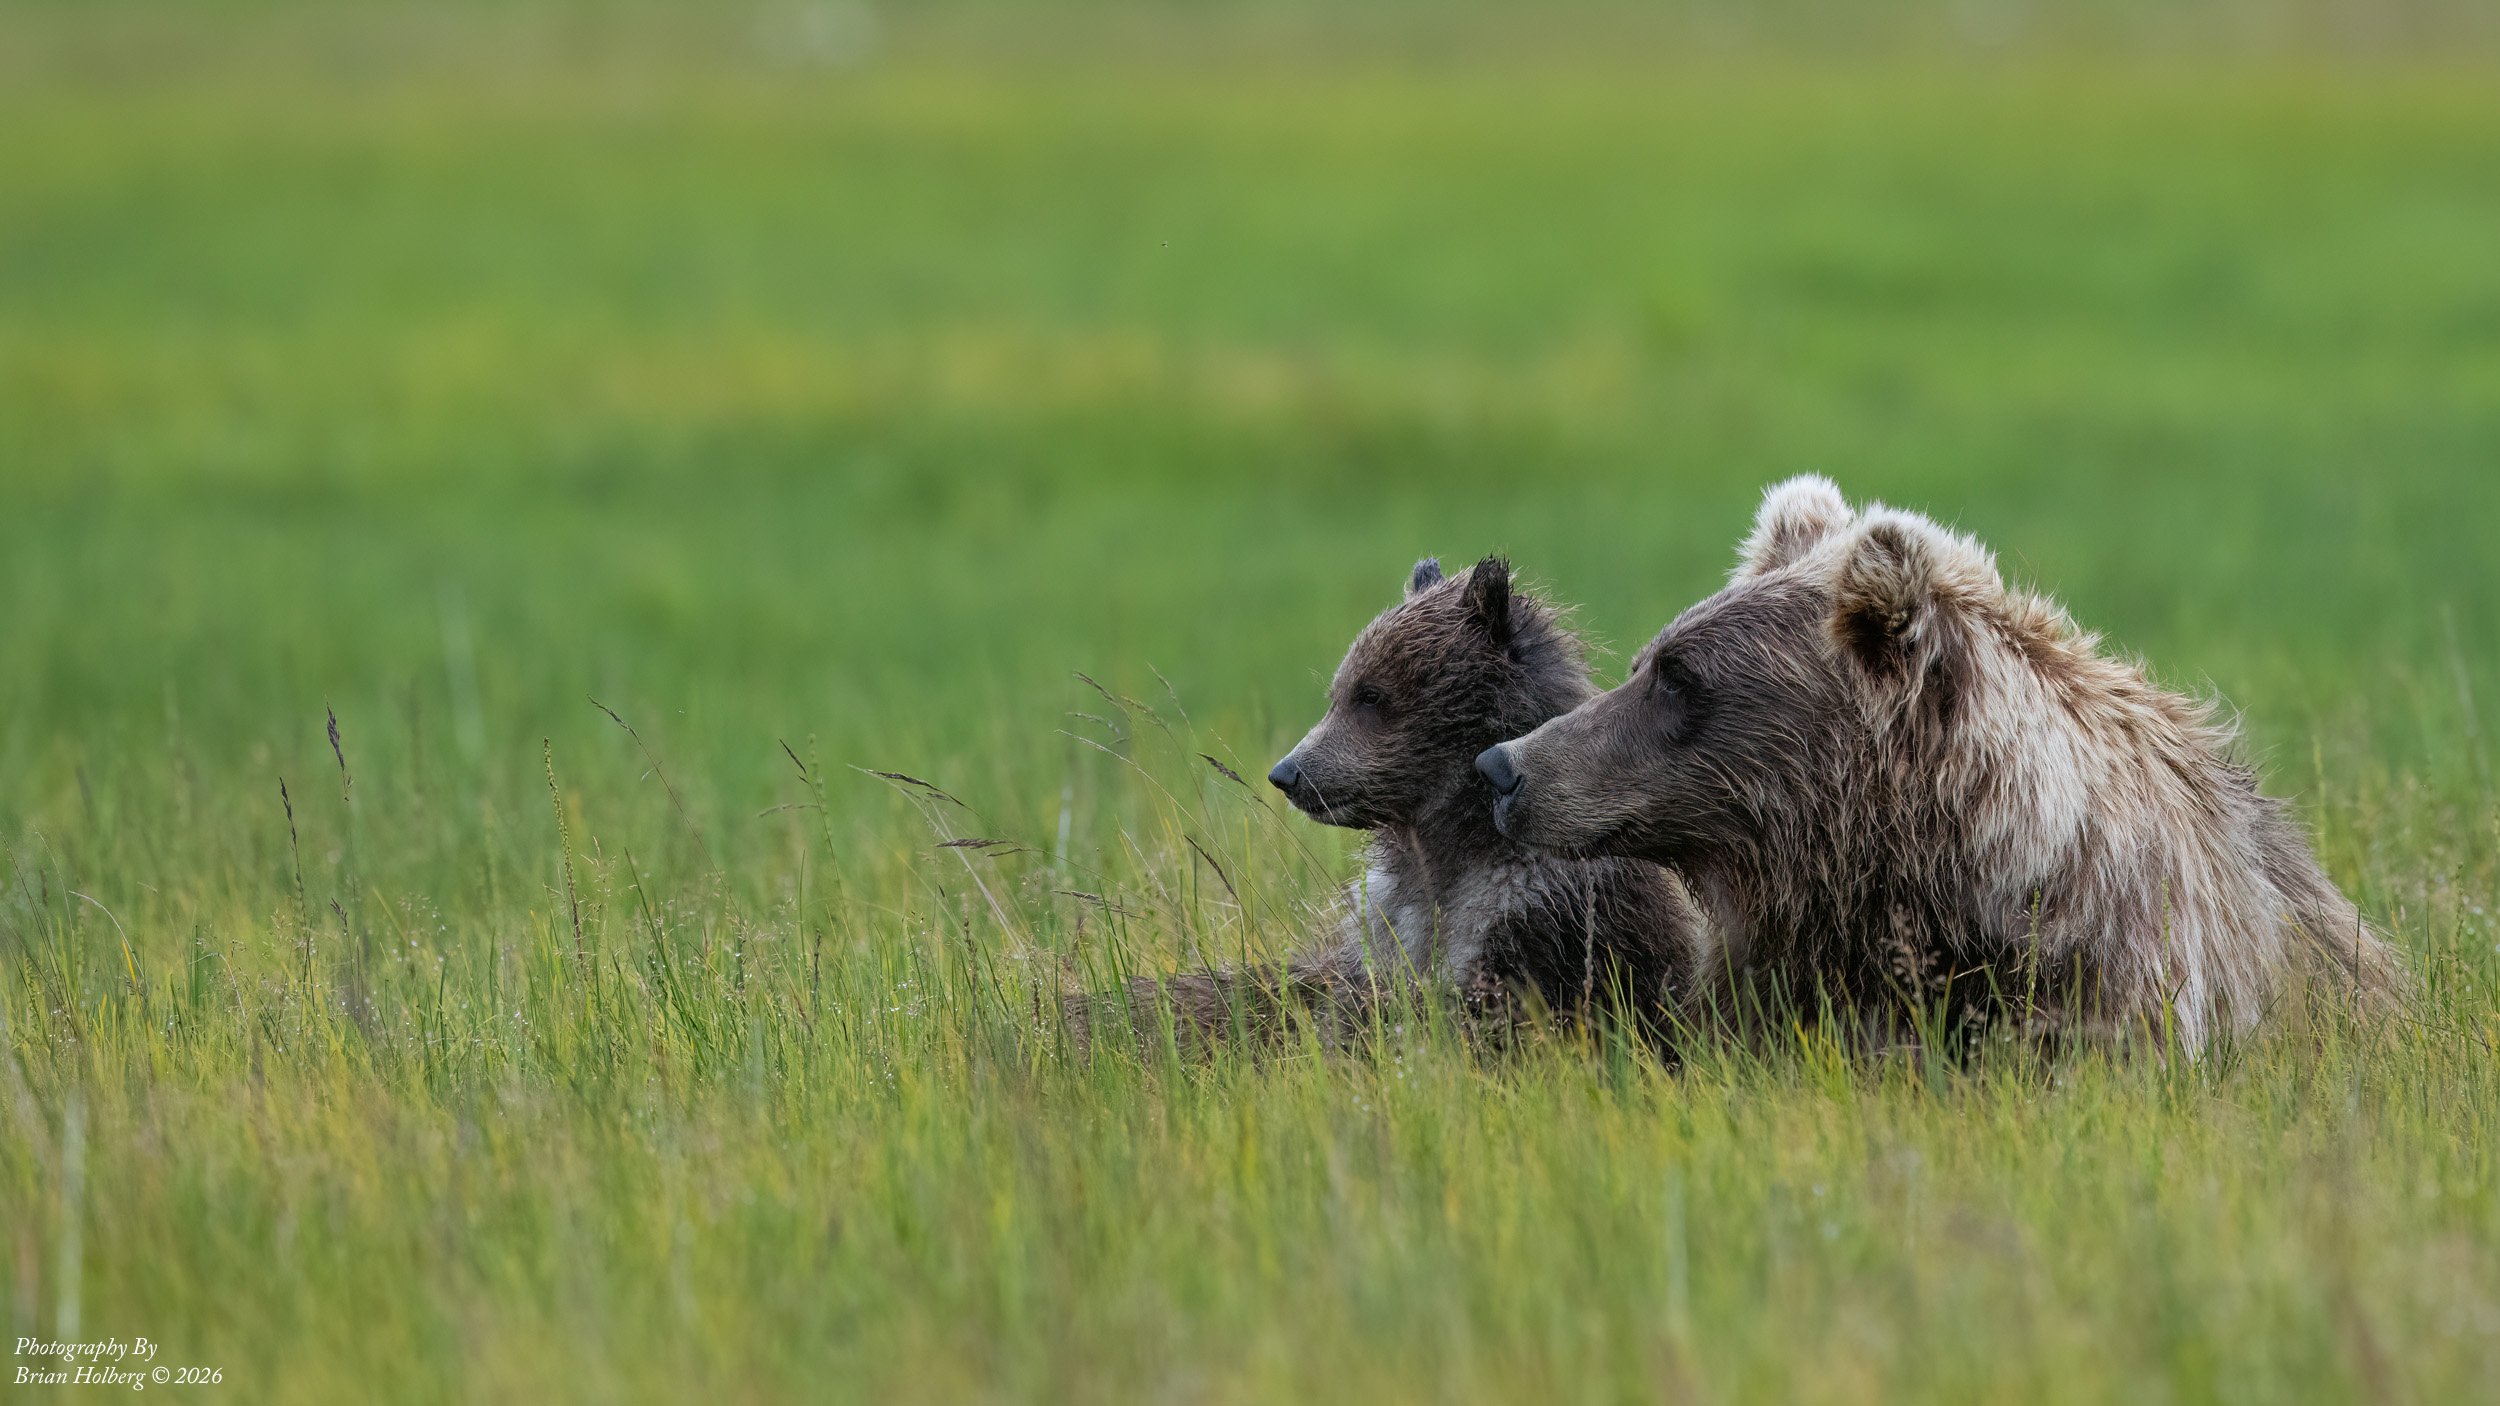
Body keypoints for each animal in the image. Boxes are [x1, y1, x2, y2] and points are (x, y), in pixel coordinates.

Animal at [1073, 555, 1712, 1053]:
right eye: (1338, 691)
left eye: (1371, 695)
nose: (1288, 773)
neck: (1450, 850)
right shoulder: (1383, 933)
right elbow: (1326, 1001)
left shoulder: (1541, 921)